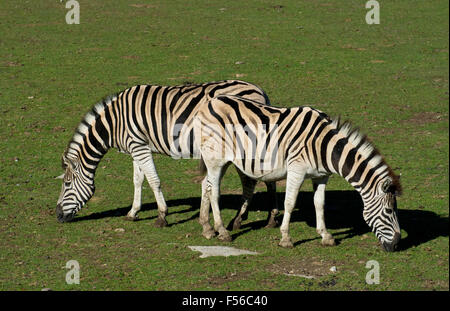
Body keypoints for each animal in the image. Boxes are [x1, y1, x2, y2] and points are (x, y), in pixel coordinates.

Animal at [55, 79, 278, 229]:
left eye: (67, 184)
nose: (57, 215)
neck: (114, 122)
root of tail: (260, 91)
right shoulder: (136, 147)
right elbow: (138, 180)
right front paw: (133, 212)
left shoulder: (139, 146)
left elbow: (153, 180)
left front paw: (162, 215)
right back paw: (271, 219)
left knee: (253, 179)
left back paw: (245, 219)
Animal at [192, 95, 402, 251]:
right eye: (389, 211)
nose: (396, 245)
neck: (324, 146)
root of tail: (211, 102)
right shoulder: (296, 170)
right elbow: (290, 203)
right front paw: (286, 238)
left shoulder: (321, 176)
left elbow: (319, 204)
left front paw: (326, 236)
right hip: (215, 159)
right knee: (214, 192)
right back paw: (222, 232)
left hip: (219, 161)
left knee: (206, 185)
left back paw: (207, 228)